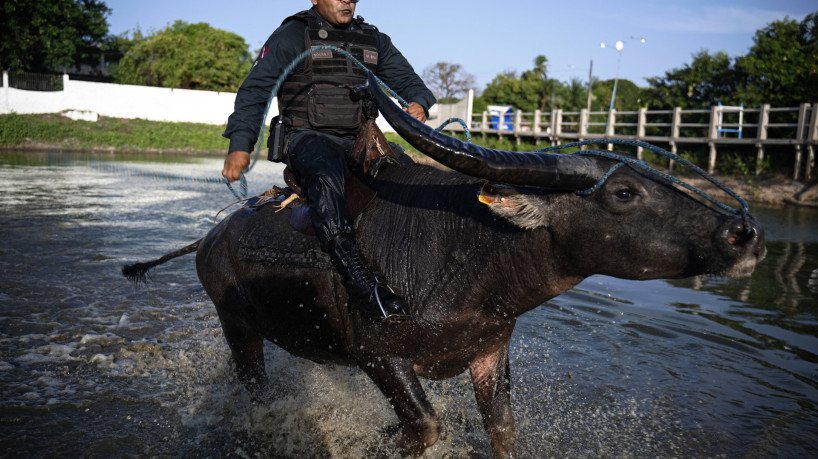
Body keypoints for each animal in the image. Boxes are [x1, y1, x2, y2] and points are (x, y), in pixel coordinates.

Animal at [124, 73, 766, 457]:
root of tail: (212, 237)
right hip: (236, 325)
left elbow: (501, 430)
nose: (745, 234)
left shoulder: (488, 355)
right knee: (255, 389)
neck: (470, 259)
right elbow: (427, 426)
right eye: (625, 193)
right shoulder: (380, 355)